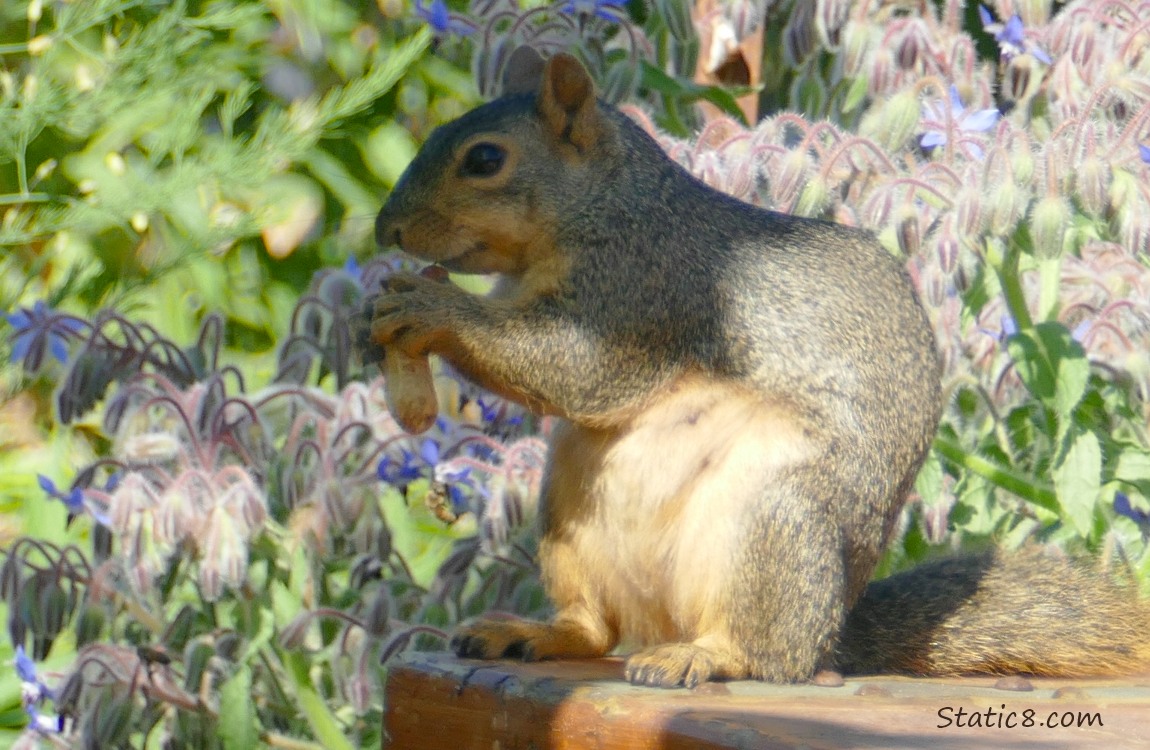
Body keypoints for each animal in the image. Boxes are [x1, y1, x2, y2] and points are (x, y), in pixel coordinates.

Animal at [368, 43, 1150, 680]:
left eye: (485, 159)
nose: (386, 230)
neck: (610, 205)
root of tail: (833, 633)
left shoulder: (643, 292)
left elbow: (577, 370)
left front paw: (432, 310)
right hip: (569, 511)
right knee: (595, 628)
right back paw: (535, 634)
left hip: (776, 521)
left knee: (769, 657)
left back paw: (703, 657)